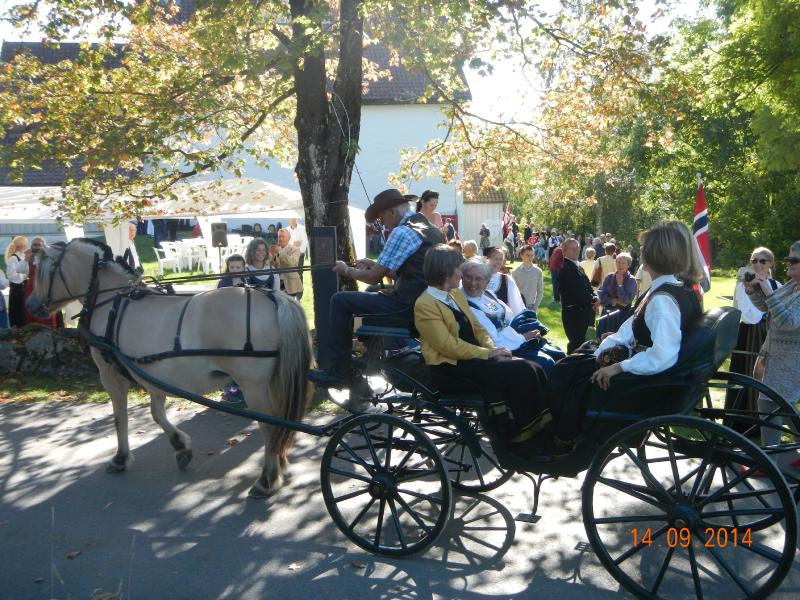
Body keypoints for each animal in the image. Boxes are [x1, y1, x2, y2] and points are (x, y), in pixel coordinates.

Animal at [26, 238, 313, 498]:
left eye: (42, 270)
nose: (32, 305)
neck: (112, 301)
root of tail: (274, 297)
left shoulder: (111, 375)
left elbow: (120, 418)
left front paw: (120, 458)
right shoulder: (152, 371)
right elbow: (156, 413)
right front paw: (180, 447)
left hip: (252, 386)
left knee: (269, 426)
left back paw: (266, 480)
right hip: (273, 381)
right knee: (280, 424)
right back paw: (280, 465)